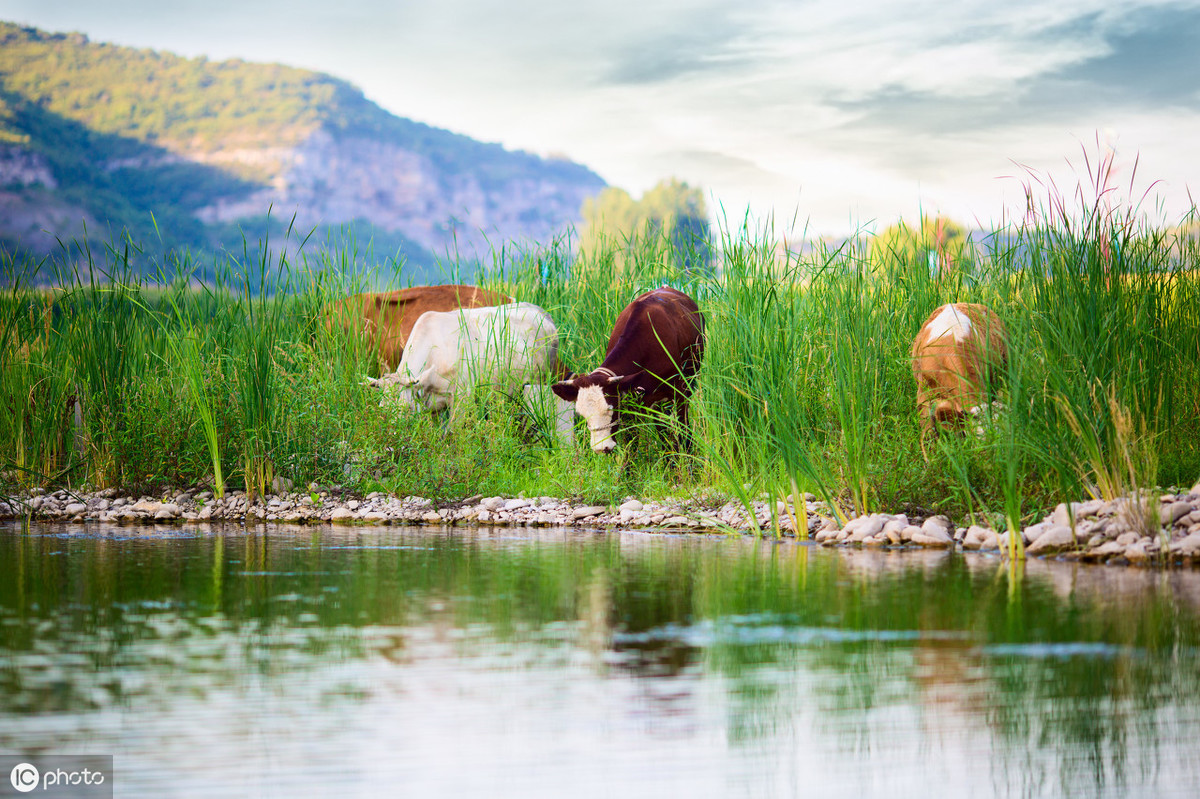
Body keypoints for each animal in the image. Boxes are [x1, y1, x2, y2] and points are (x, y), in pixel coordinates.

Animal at [364, 302, 576, 443]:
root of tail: (541, 311)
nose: (392, 436)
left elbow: (452, 434)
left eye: (406, 408)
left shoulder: (462, 398)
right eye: (382, 409)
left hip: (540, 380)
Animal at [549, 286, 705, 451]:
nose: (601, 447)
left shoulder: (680, 392)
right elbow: (631, 444)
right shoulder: (630, 403)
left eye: (610, 408)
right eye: (581, 413)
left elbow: (684, 430)